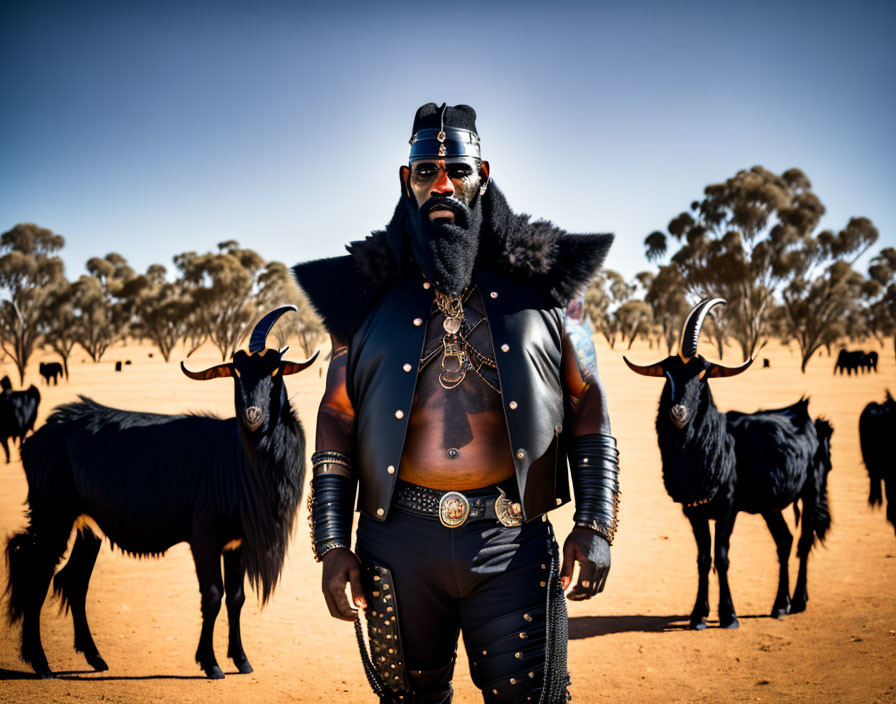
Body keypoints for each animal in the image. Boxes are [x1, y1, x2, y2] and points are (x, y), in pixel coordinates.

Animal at [3, 306, 316, 676]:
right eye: (236, 372)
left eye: (276, 369)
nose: (253, 415)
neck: (238, 457)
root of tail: (40, 436)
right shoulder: (205, 537)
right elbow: (213, 595)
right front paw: (210, 663)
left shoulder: (236, 543)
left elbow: (236, 599)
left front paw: (242, 660)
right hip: (54, 519)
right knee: (34, 571)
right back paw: (41, 663)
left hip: (87, 530)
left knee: (73, 581)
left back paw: (95, 658)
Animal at [632, 300, 832, 628]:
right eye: (667, 374)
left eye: (703, 375)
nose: (678, 412)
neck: (716, 444)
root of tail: (809, 418)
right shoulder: (694, 512)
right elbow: (703, 559)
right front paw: (698, 615)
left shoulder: (727, 509)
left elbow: (722, 557)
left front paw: (728, 615)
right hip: (770, 506)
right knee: (785, 541)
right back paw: (780, 605)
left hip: (812, 491)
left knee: (804, 540)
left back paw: (799, 601)